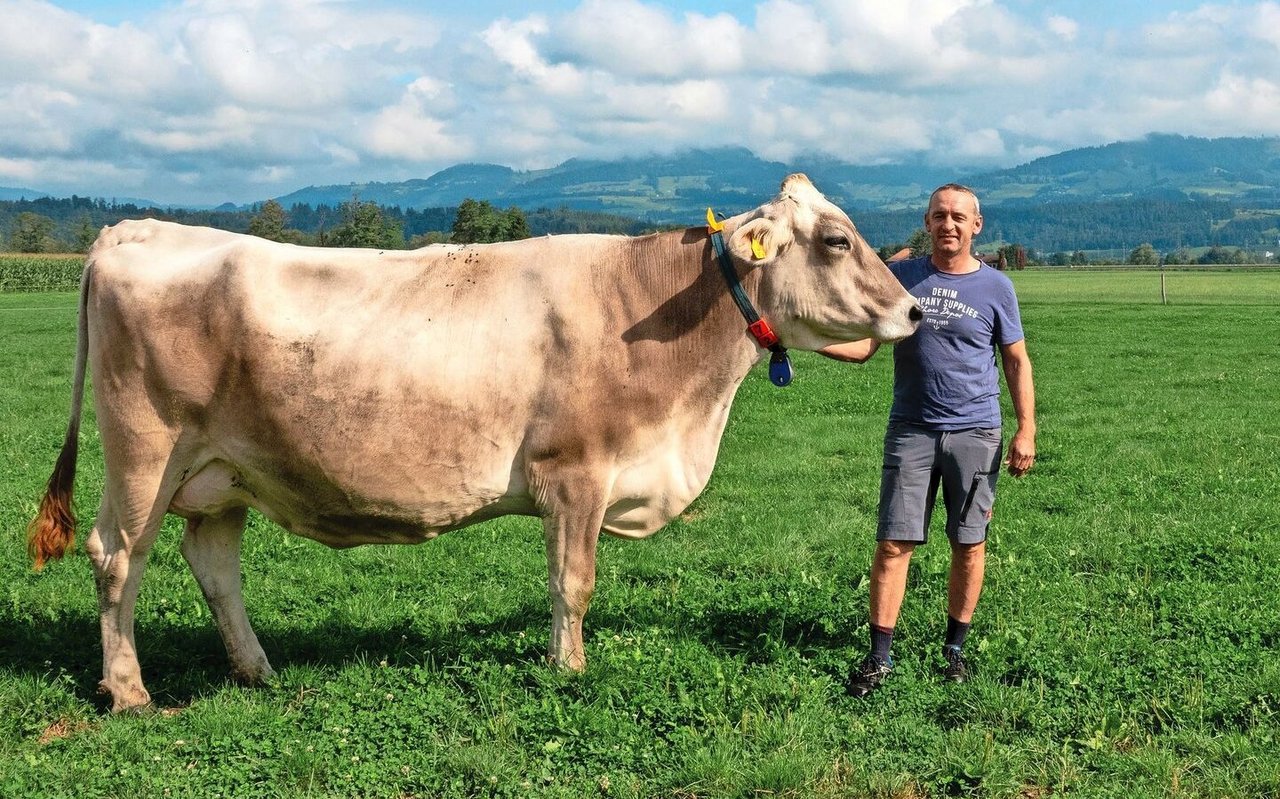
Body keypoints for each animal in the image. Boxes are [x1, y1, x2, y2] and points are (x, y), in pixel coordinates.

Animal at [27, 174, 921, 711]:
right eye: (837, 240)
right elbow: (572, 582)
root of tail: (133, 232)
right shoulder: (575, 473)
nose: (914, 311)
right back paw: (129, 690)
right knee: (118, 557)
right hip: (146, 453)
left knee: (212, 562)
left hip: (225, 470)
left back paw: (257, 668)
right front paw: (568, 669)